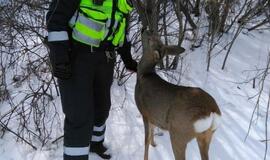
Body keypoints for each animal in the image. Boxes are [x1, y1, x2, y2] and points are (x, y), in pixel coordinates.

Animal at [135, 31, 221, 160]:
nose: (144, 30)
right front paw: (154, 144)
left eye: (150, 39)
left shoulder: (145, 112)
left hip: (179, 133)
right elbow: (152, 131)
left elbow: (146, 139)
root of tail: (212, 112)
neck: (144, 73)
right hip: (206, 136)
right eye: (156, 36)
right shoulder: (153, 115)